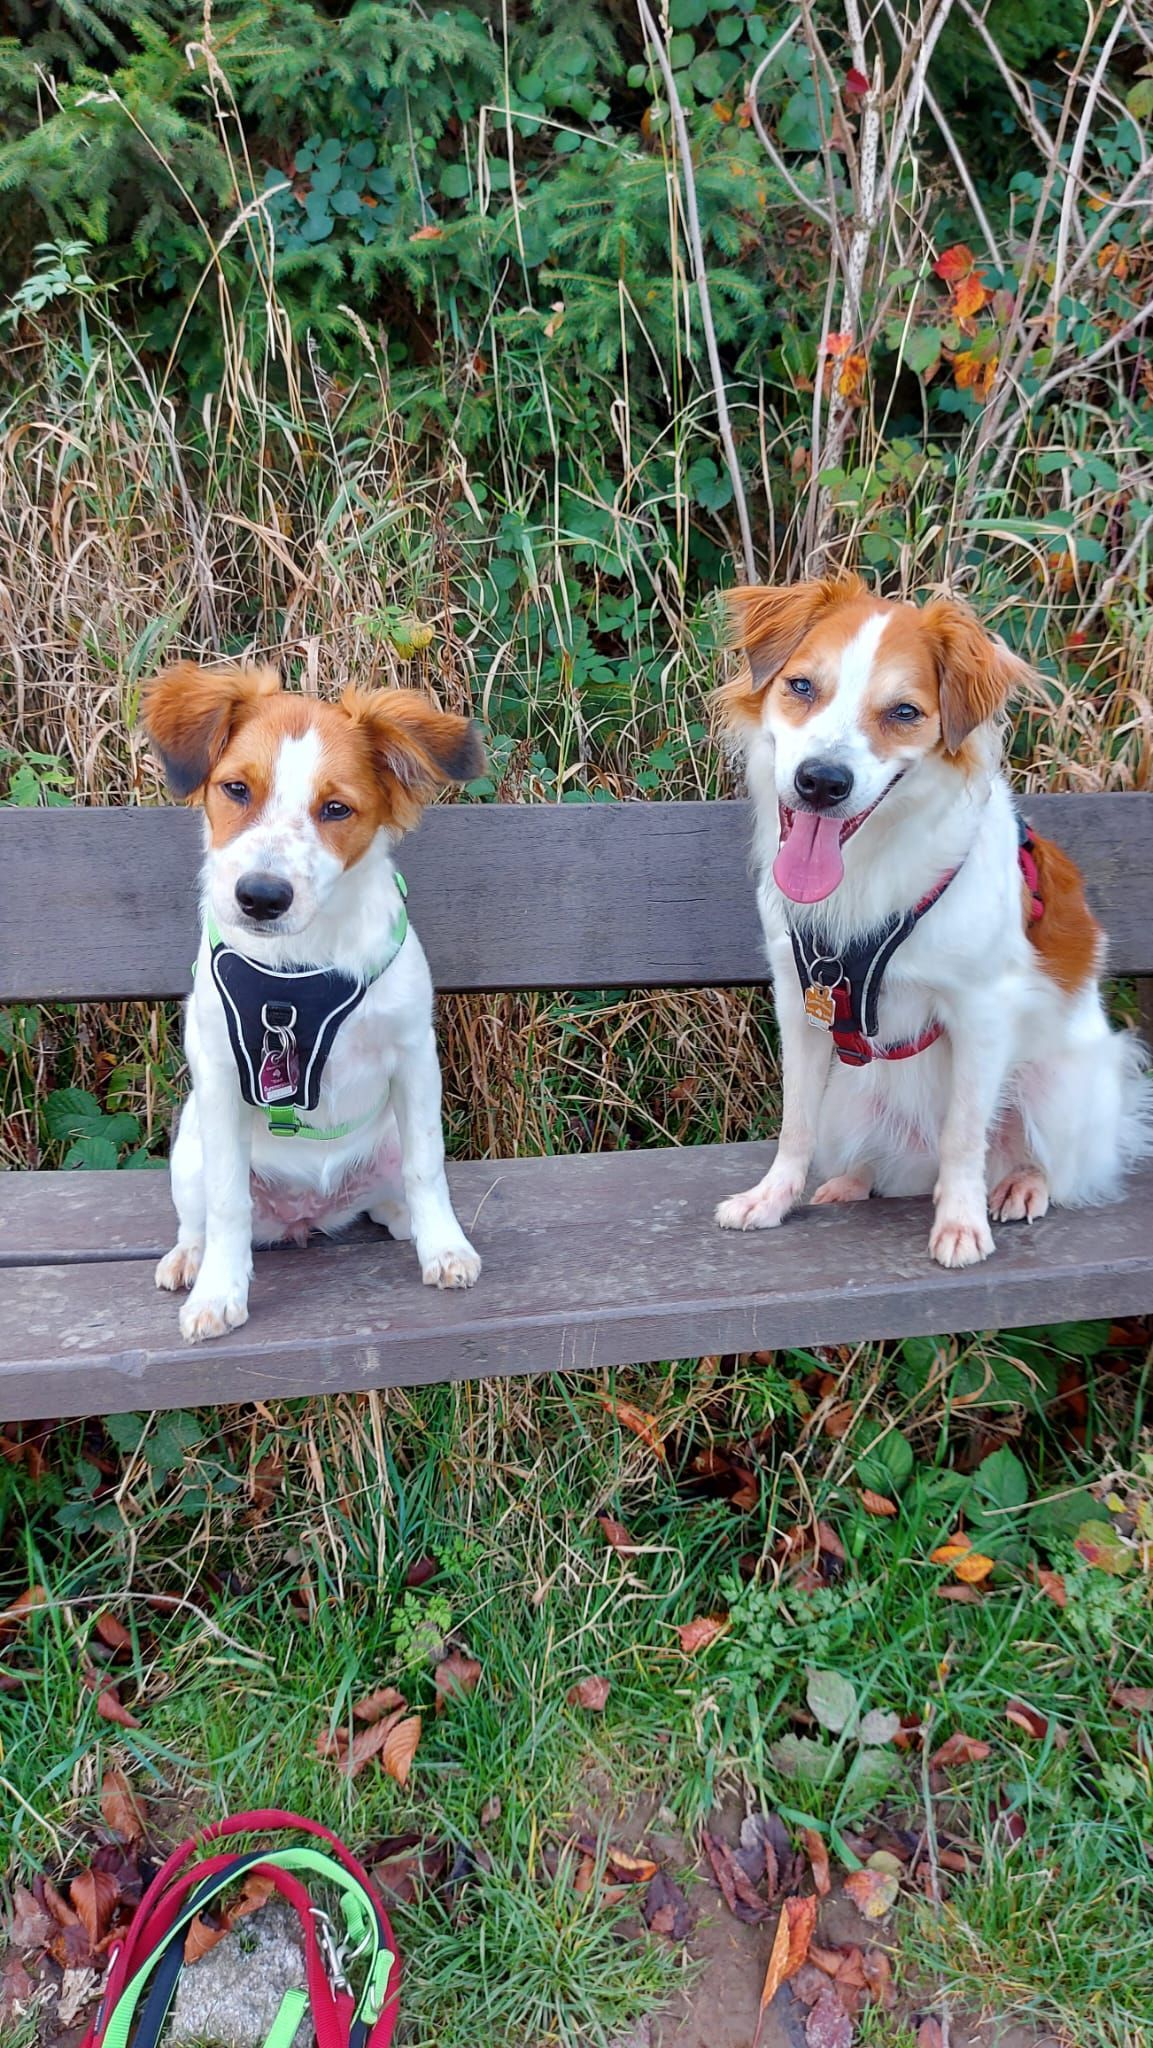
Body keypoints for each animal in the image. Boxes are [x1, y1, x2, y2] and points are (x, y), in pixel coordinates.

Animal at [143, 663, 484, 1343]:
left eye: (336, 808)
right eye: (236, 789)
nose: (261, 897)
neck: (299, 963)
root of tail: (309, 1213)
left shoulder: (414, 1055)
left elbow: (428, 1166)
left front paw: (443, 1247)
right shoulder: (219, 1074)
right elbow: (227, 1200)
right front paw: (219, 1291)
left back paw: (401, 1215)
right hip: (189, 1145)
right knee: (200, 1214)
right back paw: (191, 1256)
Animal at [715, 576, 1153, 1268]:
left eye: (903, 713)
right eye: (802, 686)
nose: (821, 782)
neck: (868, 867)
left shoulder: (981, 1010)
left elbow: (964, 1135)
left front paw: (961, 1223)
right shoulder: (799, 998)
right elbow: (796, 1121)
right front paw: (772, 1197)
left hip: (1059, 1084)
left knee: (1045, 1163)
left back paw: (1022, 1184)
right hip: (853, 1098)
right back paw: (851, 1181)